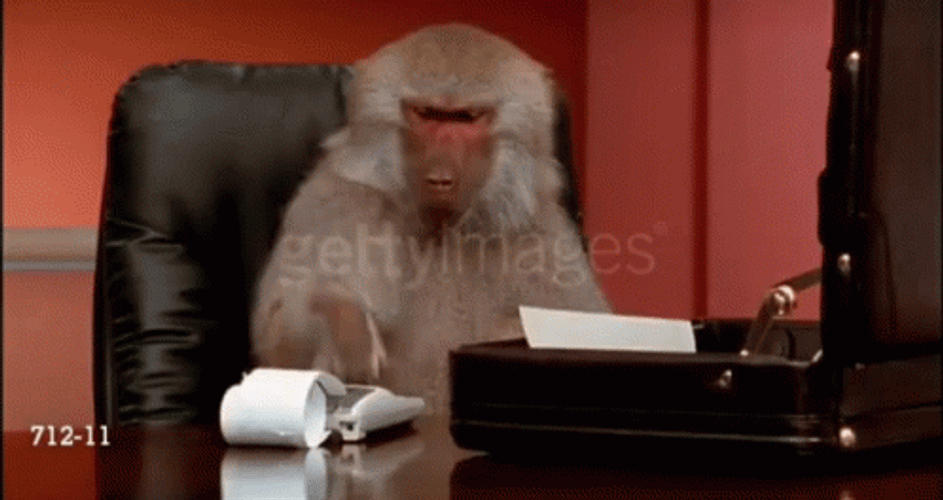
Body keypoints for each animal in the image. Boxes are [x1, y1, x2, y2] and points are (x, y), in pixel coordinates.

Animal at [251, 24, 611, 413]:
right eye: (427, 113)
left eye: (466, 118)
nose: (440, 177)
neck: (444, 229)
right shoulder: (339, 202)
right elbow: (278, 329)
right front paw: (343, 327)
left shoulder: (540, 233)